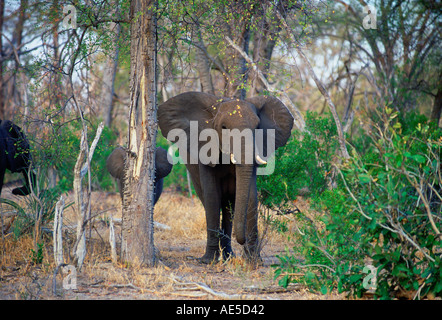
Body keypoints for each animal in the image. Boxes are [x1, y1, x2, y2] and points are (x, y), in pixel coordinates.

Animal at [158, 91, 294, 264]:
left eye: (257, 127)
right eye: (223, 127)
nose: (241, 240)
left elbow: (251, 196)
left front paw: (254, 261)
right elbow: (212, 197)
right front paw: (209, 260)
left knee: (229, 207)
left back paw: (229, 256)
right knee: (210, 201)